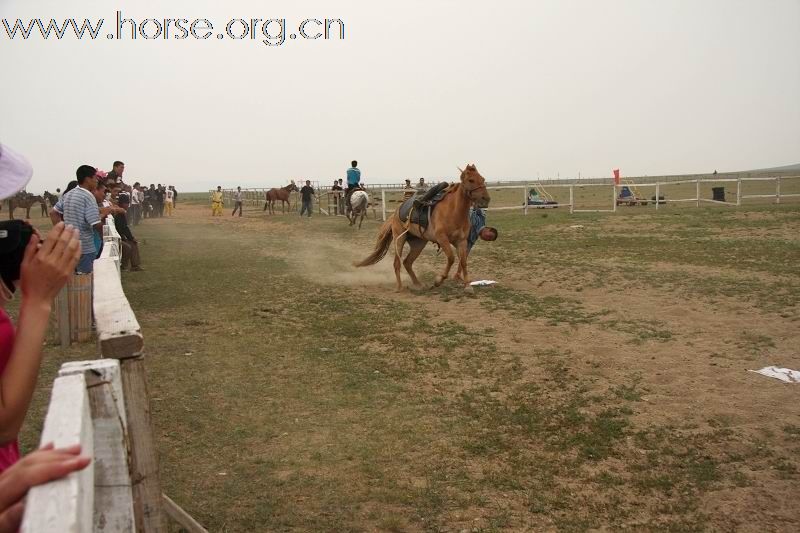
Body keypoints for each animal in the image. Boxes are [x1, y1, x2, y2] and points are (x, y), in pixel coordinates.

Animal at [354, 164, 490, 294]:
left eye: (483, 179)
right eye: (471, 180)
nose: (486, 199)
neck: (454, 211)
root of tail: (396, 213)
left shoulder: (461, 241)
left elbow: (464, 261)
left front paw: (468, 286)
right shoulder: (442, 239)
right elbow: (451, 258)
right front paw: (438, 280)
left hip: (418, 243)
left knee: (407, 262)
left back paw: (418, 284)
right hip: (399, 239)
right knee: (397, 263)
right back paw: (399, 287)